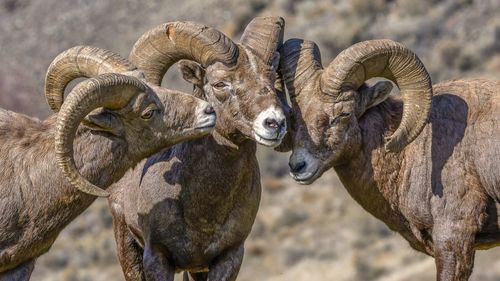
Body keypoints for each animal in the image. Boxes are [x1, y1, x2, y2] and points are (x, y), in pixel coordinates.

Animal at [109, 17, 288, 278]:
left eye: (272, 79)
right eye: (220, 84)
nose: (275, 123)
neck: (203, 213)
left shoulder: (229, 257)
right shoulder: (157, 257)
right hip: (126, 243)